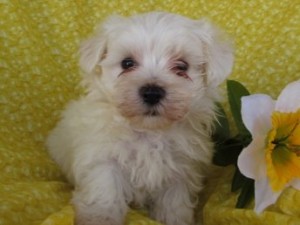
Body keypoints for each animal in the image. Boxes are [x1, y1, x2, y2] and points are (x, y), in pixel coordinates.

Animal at [47, 12, 233, 225]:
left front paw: (173, 219)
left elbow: (173, 202)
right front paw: (100, 218)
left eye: (182, 67)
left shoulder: (180, 168)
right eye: (127, 63)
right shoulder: (104, 161)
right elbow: (105, 194)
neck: (148, 131)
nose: (152, 93)